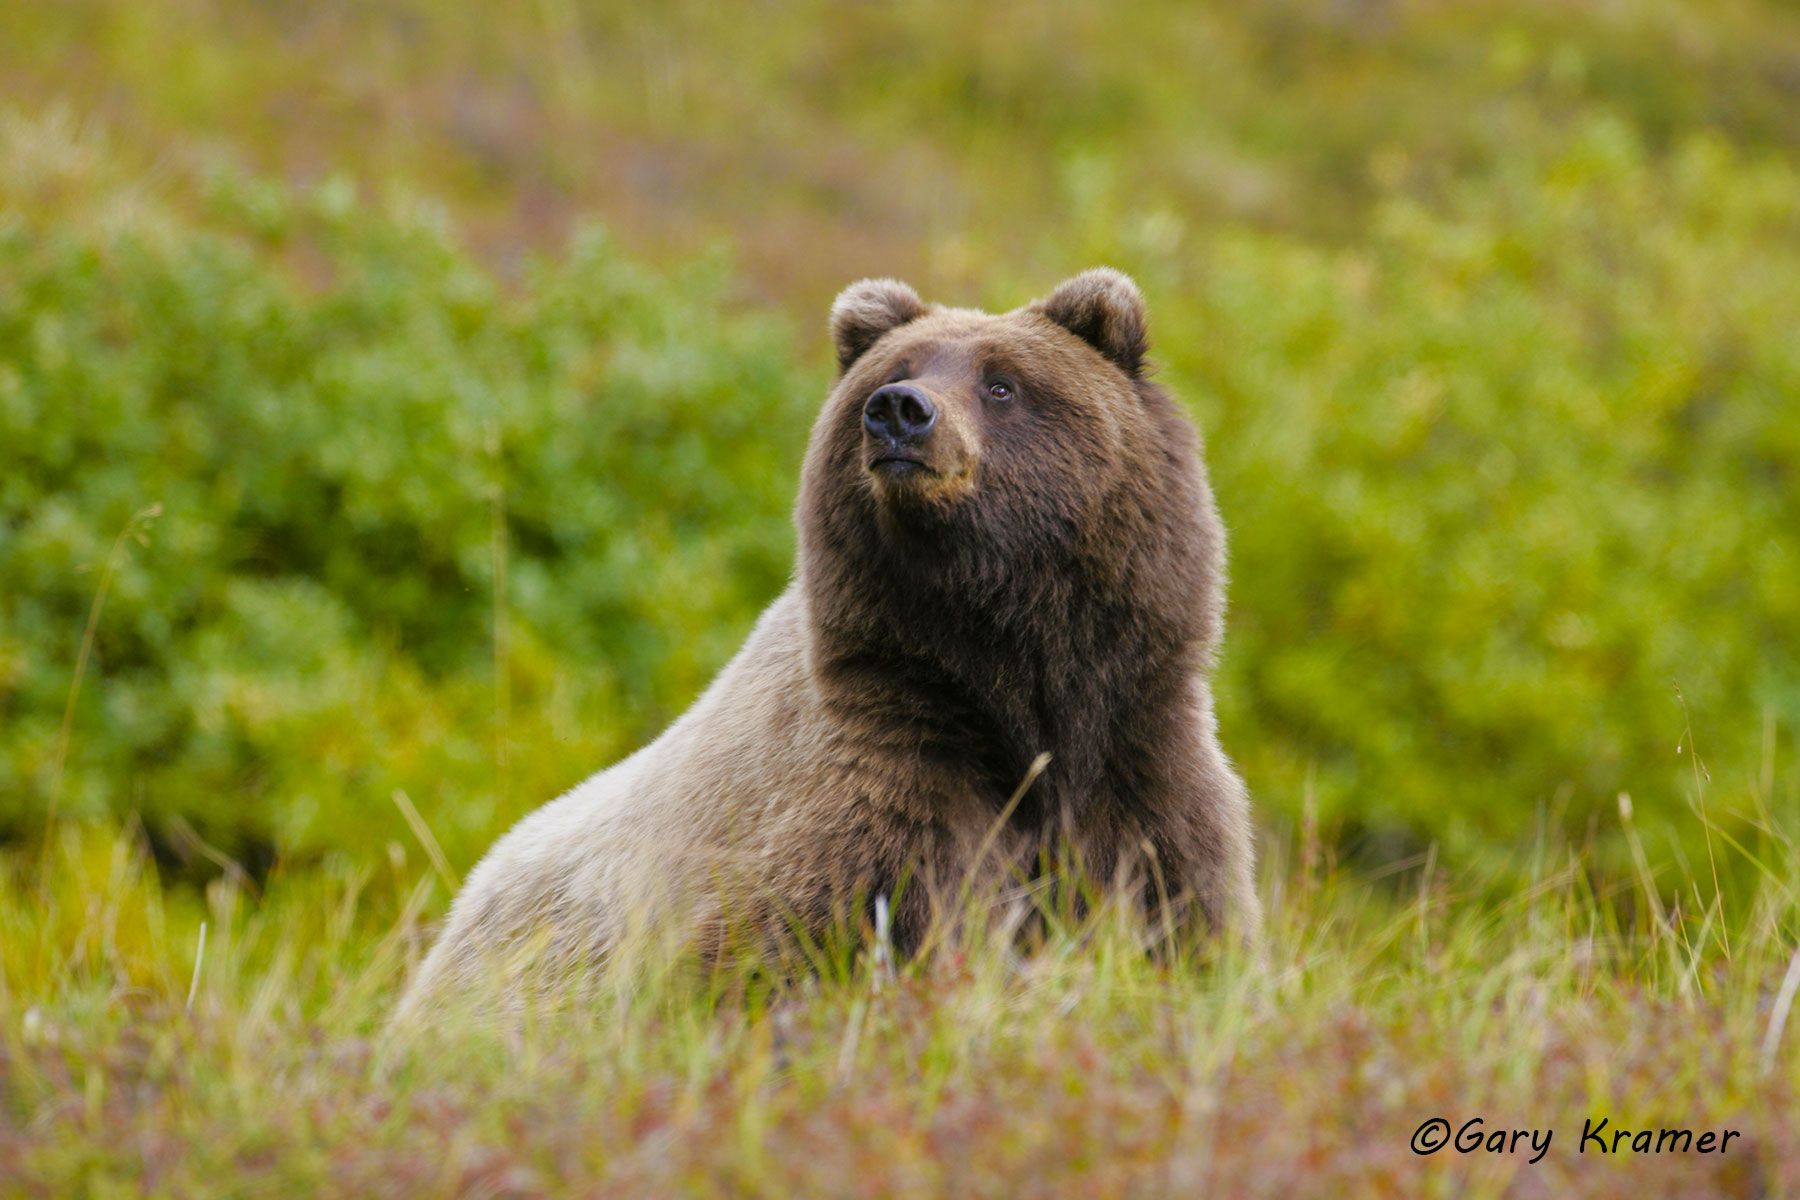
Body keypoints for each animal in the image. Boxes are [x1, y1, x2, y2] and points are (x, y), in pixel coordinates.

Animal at [394, 268, 1259, 1019]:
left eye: (1002, 383)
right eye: (898, 368)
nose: (899, 410)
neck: (1012, 674)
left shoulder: (1141, 773)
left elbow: (1183, 922)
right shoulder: (879, 786)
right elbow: (774, 946)